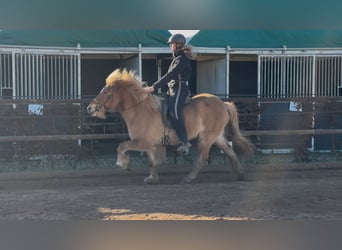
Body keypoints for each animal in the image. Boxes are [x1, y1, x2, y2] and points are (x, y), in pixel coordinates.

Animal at [88, 68, 254, 184]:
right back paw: (240, 174)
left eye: (106, 92)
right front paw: (152, 179)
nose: (90, 108)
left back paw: (188, 178)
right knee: (230, 151)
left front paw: (123, 164)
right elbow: (151, 162)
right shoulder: (150, 145)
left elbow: (121, 146)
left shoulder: (142, 142)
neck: (140, 109)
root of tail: (223, 104)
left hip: (207, 137)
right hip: (217, 136)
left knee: (202, 157)